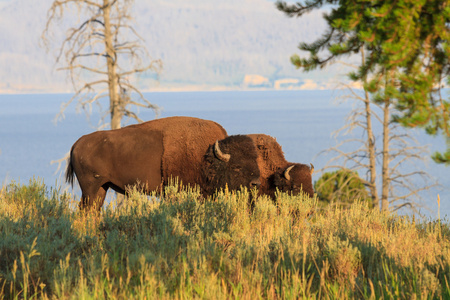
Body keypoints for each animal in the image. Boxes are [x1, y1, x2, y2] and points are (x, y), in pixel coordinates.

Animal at [66, 116, 260, 210]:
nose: (256, 183)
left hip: (102, 188)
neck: (207, 157)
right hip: (90, 189)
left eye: (255, 159)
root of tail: (77, 143)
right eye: (236, 166)